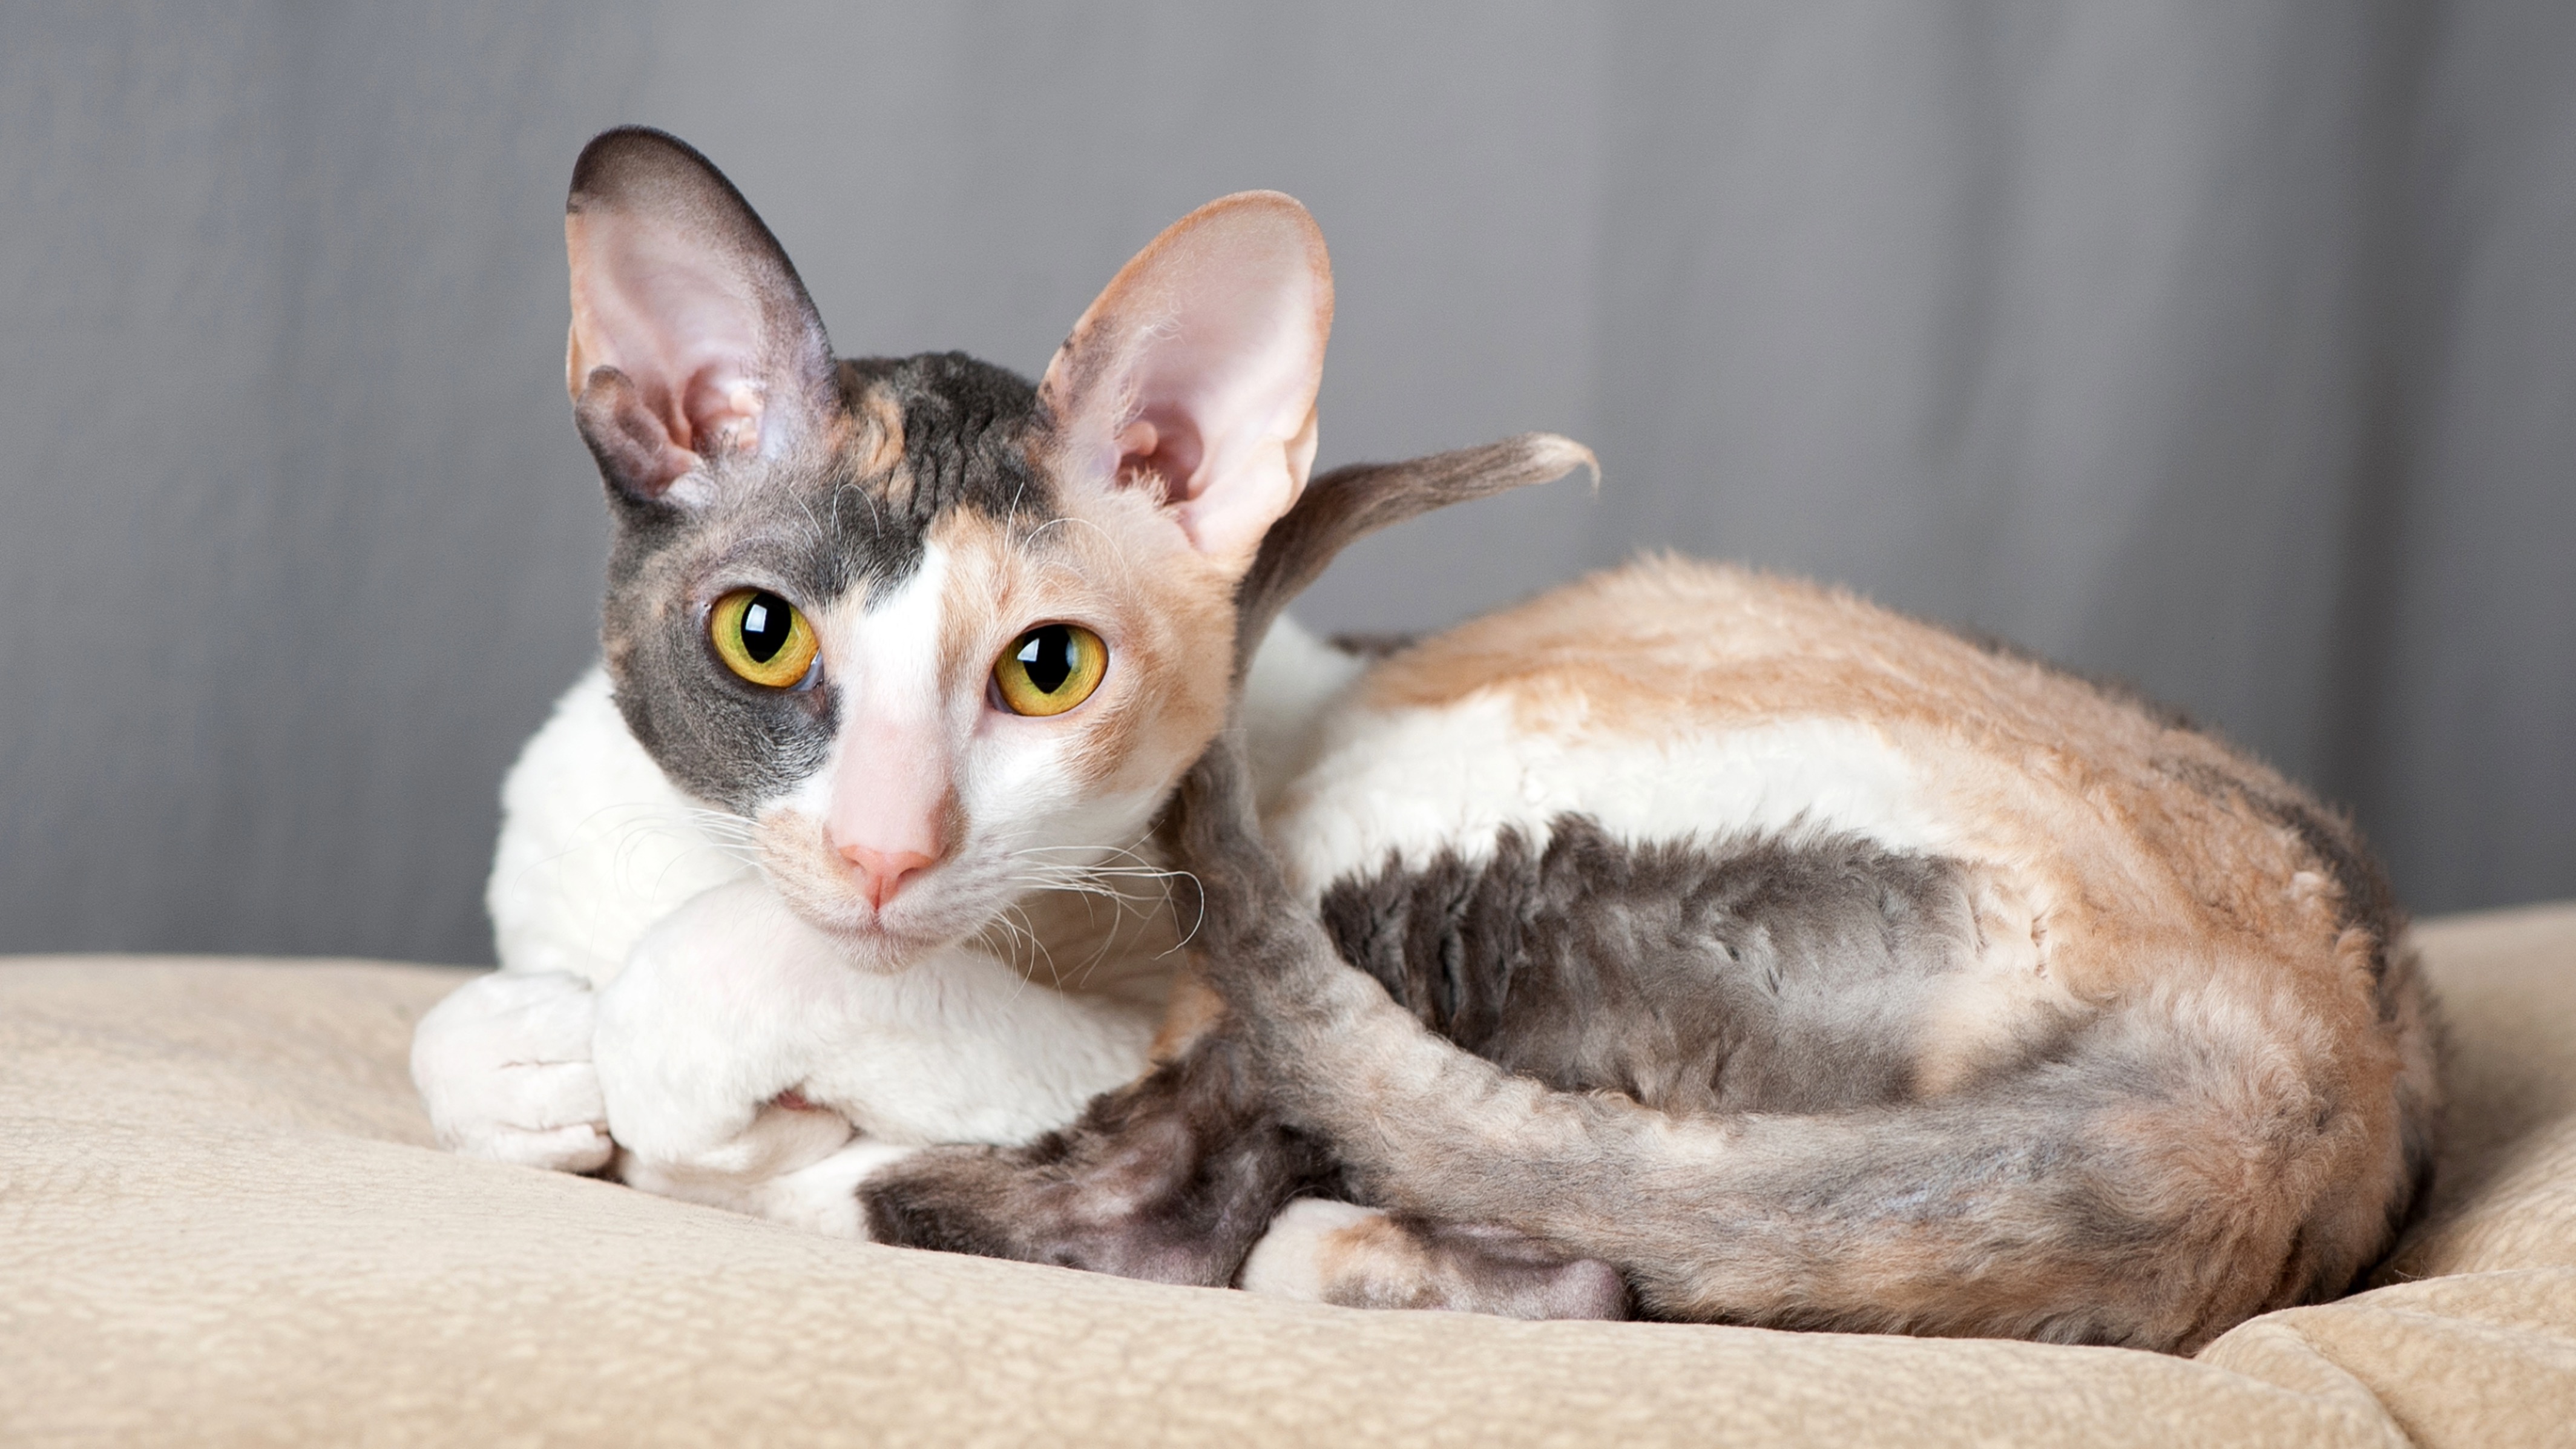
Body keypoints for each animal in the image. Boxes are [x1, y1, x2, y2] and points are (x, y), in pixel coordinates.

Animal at [409, 126, 1617, 1309]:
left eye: (1048, 668)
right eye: (763, 634)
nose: (883, 850)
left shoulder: (1146, 1021)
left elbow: (730, 975)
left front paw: (673, 1090)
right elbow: (443, 1035)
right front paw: (528, 1059)